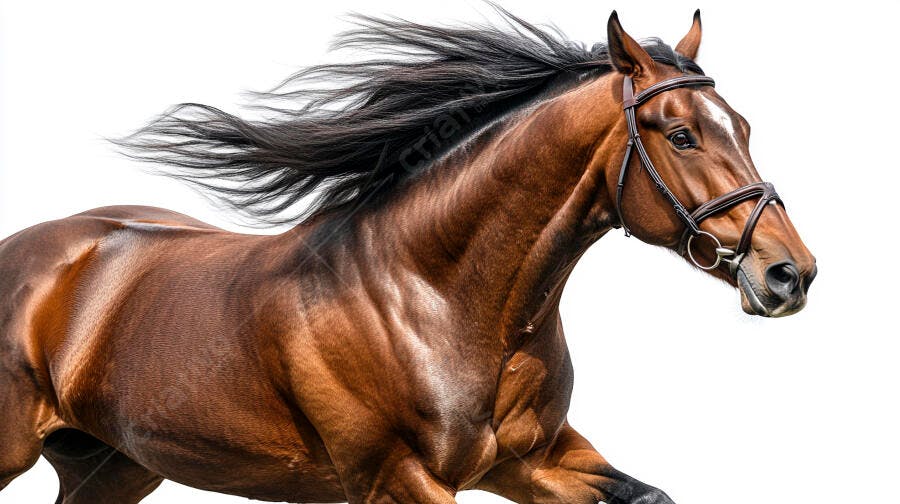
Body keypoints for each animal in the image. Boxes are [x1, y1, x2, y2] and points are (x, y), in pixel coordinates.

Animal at [0, 8, 816, 504]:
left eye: (743, 125)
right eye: (681, 135)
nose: (790, 273)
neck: (440, 297)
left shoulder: (532, 460)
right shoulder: (399, 478)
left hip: (110, 466)